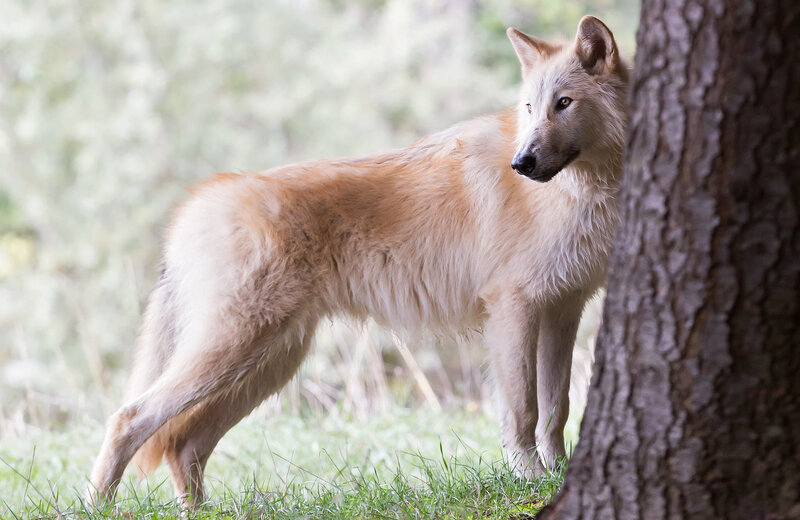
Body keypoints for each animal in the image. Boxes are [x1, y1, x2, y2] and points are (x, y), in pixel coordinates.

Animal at [88, 16, 629, 506]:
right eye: (530, 107)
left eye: (563, 103)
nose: (522, 163)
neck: (581, 192)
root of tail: (190, 208)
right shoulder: (512, 312)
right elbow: (522, 411)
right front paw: (532, 483)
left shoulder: (563, 310)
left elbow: (557, 408)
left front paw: (559, 476)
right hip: (236, 354)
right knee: (128, 419)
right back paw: (97, 506)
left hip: (267, 366)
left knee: (183, 443)